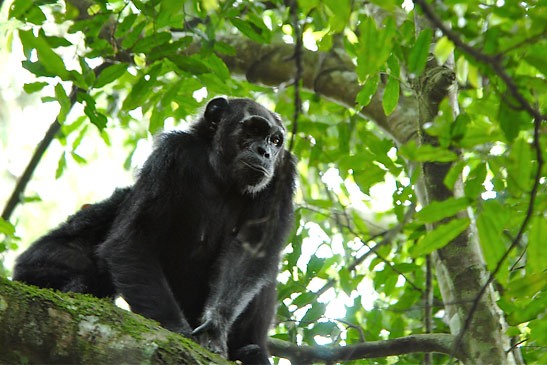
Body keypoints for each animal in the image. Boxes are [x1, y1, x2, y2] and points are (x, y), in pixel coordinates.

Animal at [11, 96, 296, 362]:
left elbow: (252, 249)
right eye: (253, 129)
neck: (220, 171)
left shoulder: (281, 176)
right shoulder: (171, 155)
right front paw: (177, 333)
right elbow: (132, 240)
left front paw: (215, 328)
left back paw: (250, 351)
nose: (264, 151)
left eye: (275, 140)